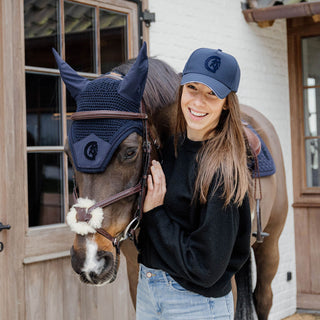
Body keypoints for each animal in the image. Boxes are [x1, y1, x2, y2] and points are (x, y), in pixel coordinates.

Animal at [56, 45, 288, 320]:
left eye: (130, 151)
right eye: (68, 153)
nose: (89, 259)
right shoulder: (136, 273)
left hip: (270, 245)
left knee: (263, 298)